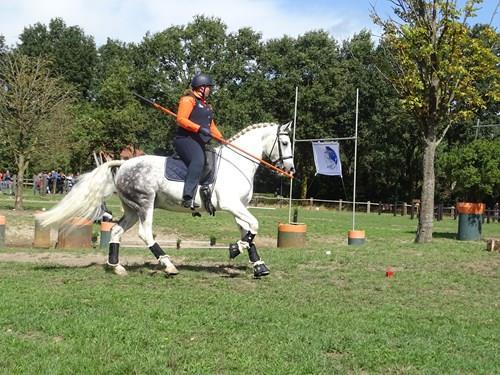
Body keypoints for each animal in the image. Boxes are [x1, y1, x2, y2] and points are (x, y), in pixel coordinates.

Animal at [39, 122, 296, 278]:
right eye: (284, 143)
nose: (291, 169)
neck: (236, 165)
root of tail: (123, 164)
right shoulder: (232, 205)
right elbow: (254, 226)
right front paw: (235, 249)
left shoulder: (239, 207)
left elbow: (248, 231)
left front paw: (258, 266)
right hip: (145, 203)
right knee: (145, 233)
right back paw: (168, 265)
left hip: (132, 209)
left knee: (116, 230)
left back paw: (117, 266)